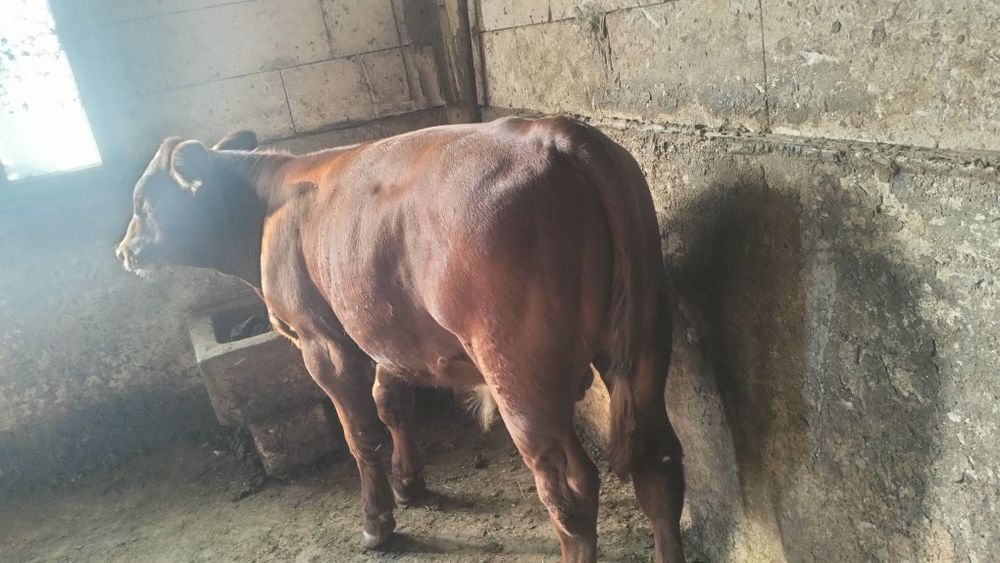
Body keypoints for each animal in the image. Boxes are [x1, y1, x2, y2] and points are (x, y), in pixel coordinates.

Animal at [115, 116, 686, 562]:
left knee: (568, 491)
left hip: (518, 373)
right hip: (643, 345)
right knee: (659, 468)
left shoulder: (323, 342)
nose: (124, 251)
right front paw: (410, 484)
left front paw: (378, 521)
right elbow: (393, 404)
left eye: (144, 201)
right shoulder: (384, 330)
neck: (265, 206)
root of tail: (562, 135)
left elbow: (360, 433)